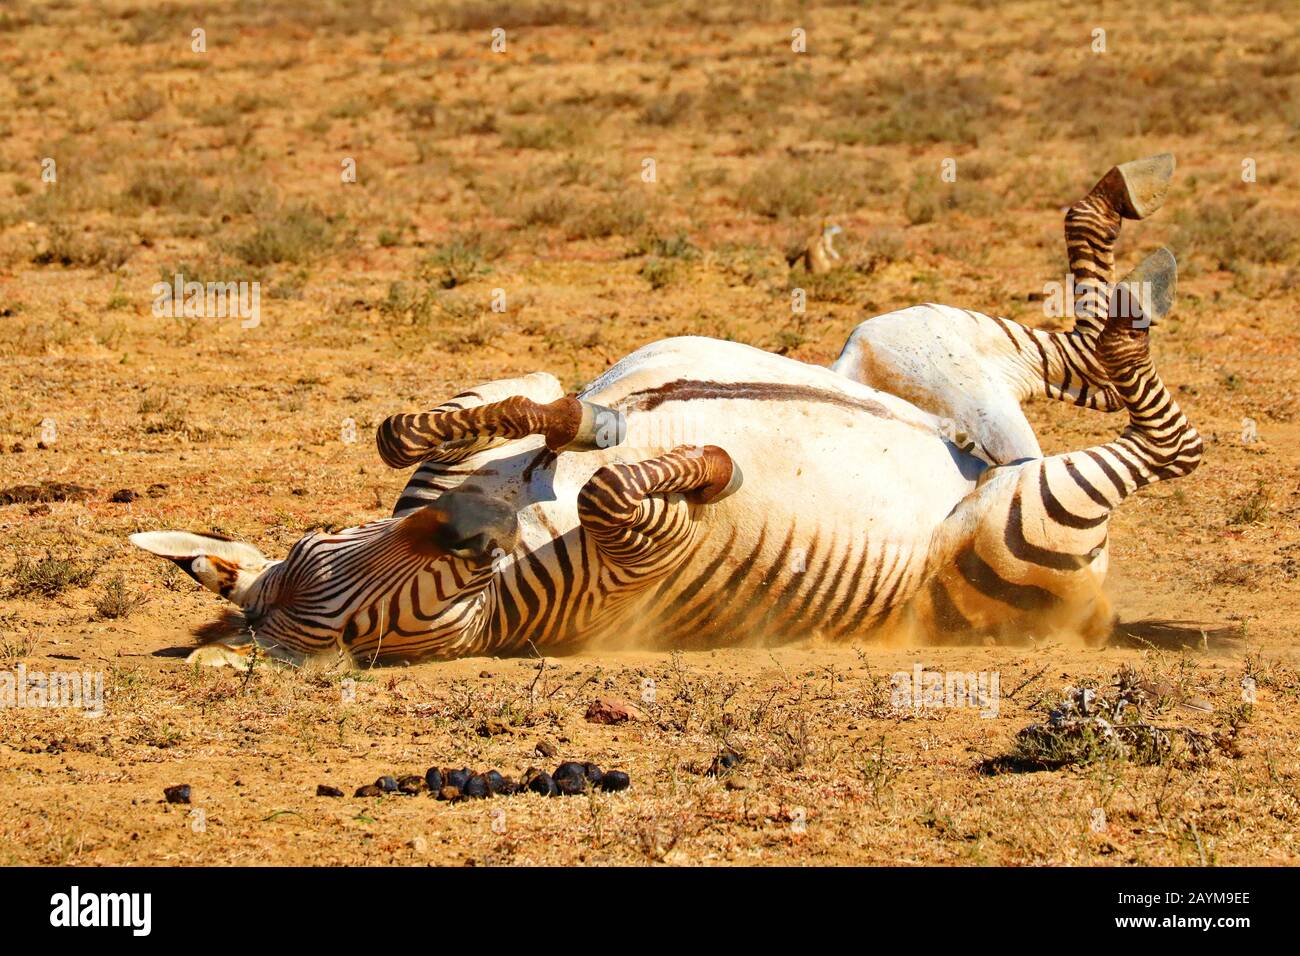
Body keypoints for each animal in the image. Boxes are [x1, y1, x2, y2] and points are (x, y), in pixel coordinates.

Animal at [129, 157, 1196, 665]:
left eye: (324, 549)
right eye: (362, 638)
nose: (466, 535)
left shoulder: (476, 419)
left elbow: (426, 424)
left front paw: (584, 424)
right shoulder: (635, 559)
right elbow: (615, 498)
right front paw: (707, 466)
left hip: (895, 342)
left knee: (1084, 363)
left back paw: (1115, 222)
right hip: (1009, 525)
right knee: (1166, 444)